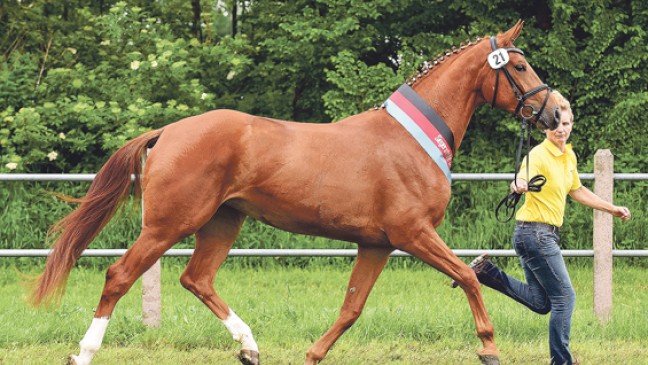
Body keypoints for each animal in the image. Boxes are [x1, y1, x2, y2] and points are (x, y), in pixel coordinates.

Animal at [30, 20, 560, 364]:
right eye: (520, 66)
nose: (555, 112)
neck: (411, 140)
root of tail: (167, 132)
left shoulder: (377, 244)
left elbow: (351, 308)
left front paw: (313, 353)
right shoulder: (413, 234)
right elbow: (468, 277)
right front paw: (488, 347)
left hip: (223, 222)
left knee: (197, 279)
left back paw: (249, 346)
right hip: (169, 224)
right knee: (120, 275)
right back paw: (84, 352)